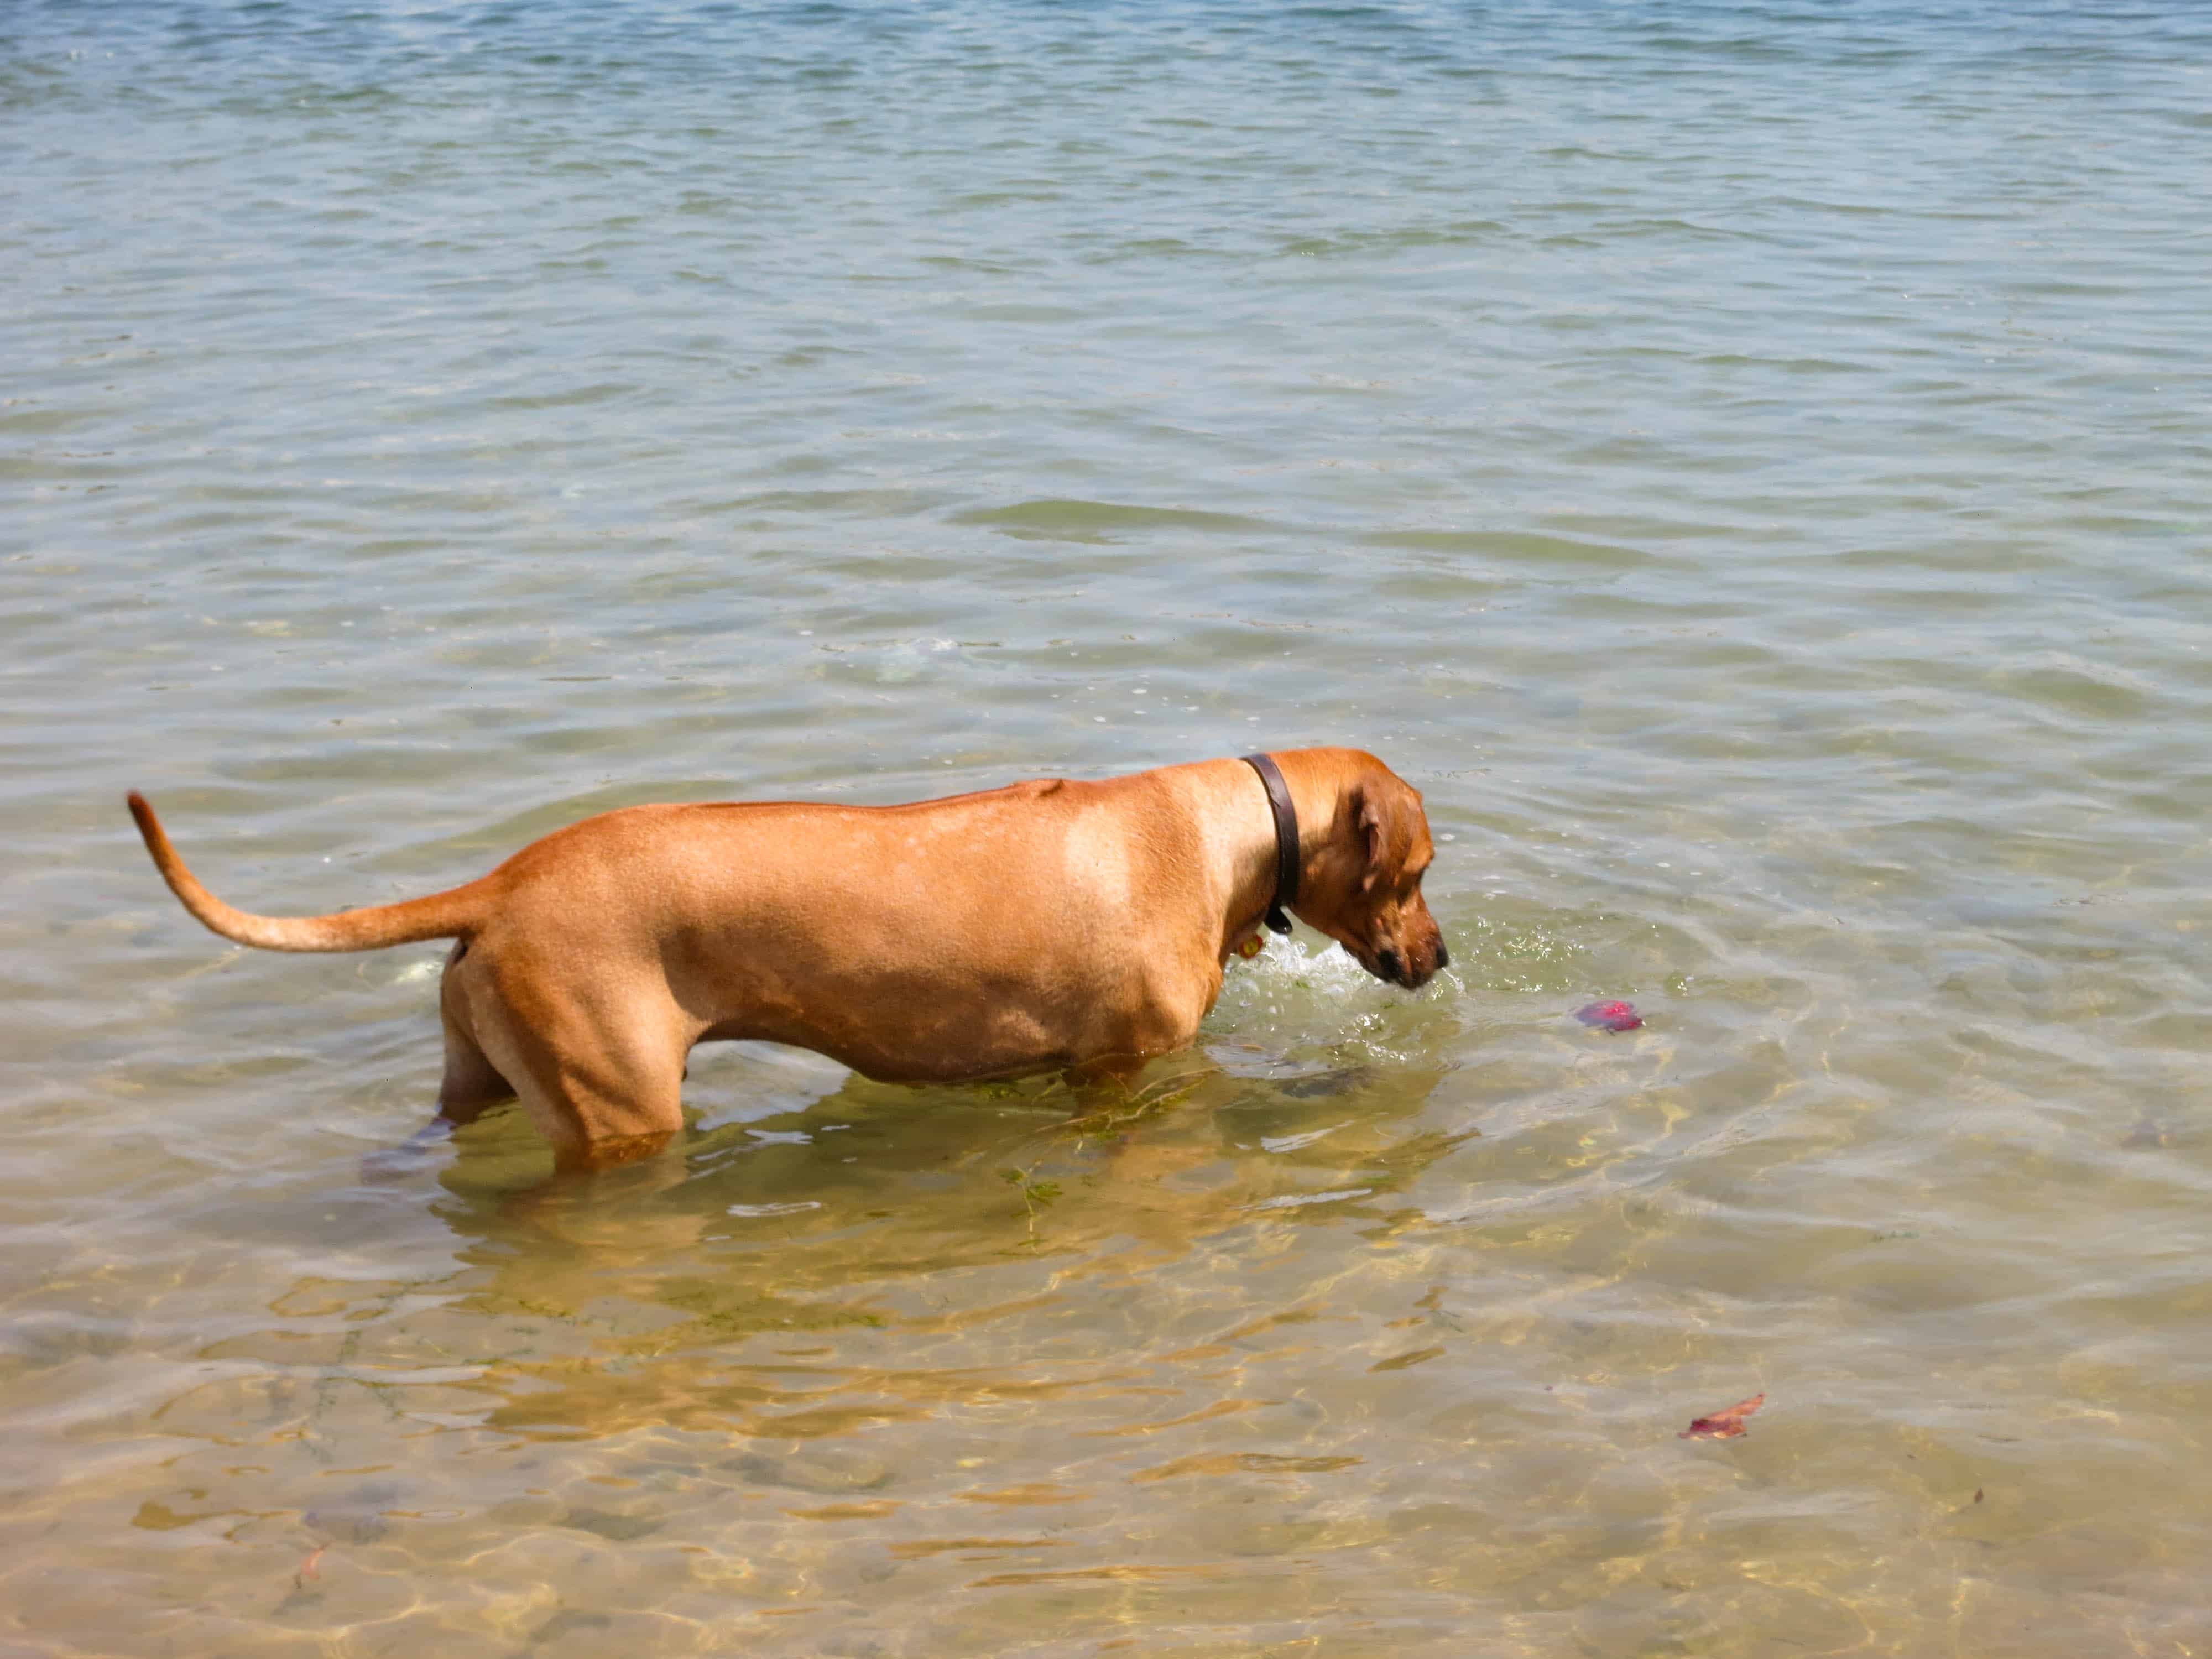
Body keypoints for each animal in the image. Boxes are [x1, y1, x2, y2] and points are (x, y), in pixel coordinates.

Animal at [129, 752, 1442, 1168]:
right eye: (1421, 870)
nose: (1437, 958)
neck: (1220, 831)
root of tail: (504, 883)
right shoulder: (1132, 1073)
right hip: (618, 1110)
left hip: (481, 1077)